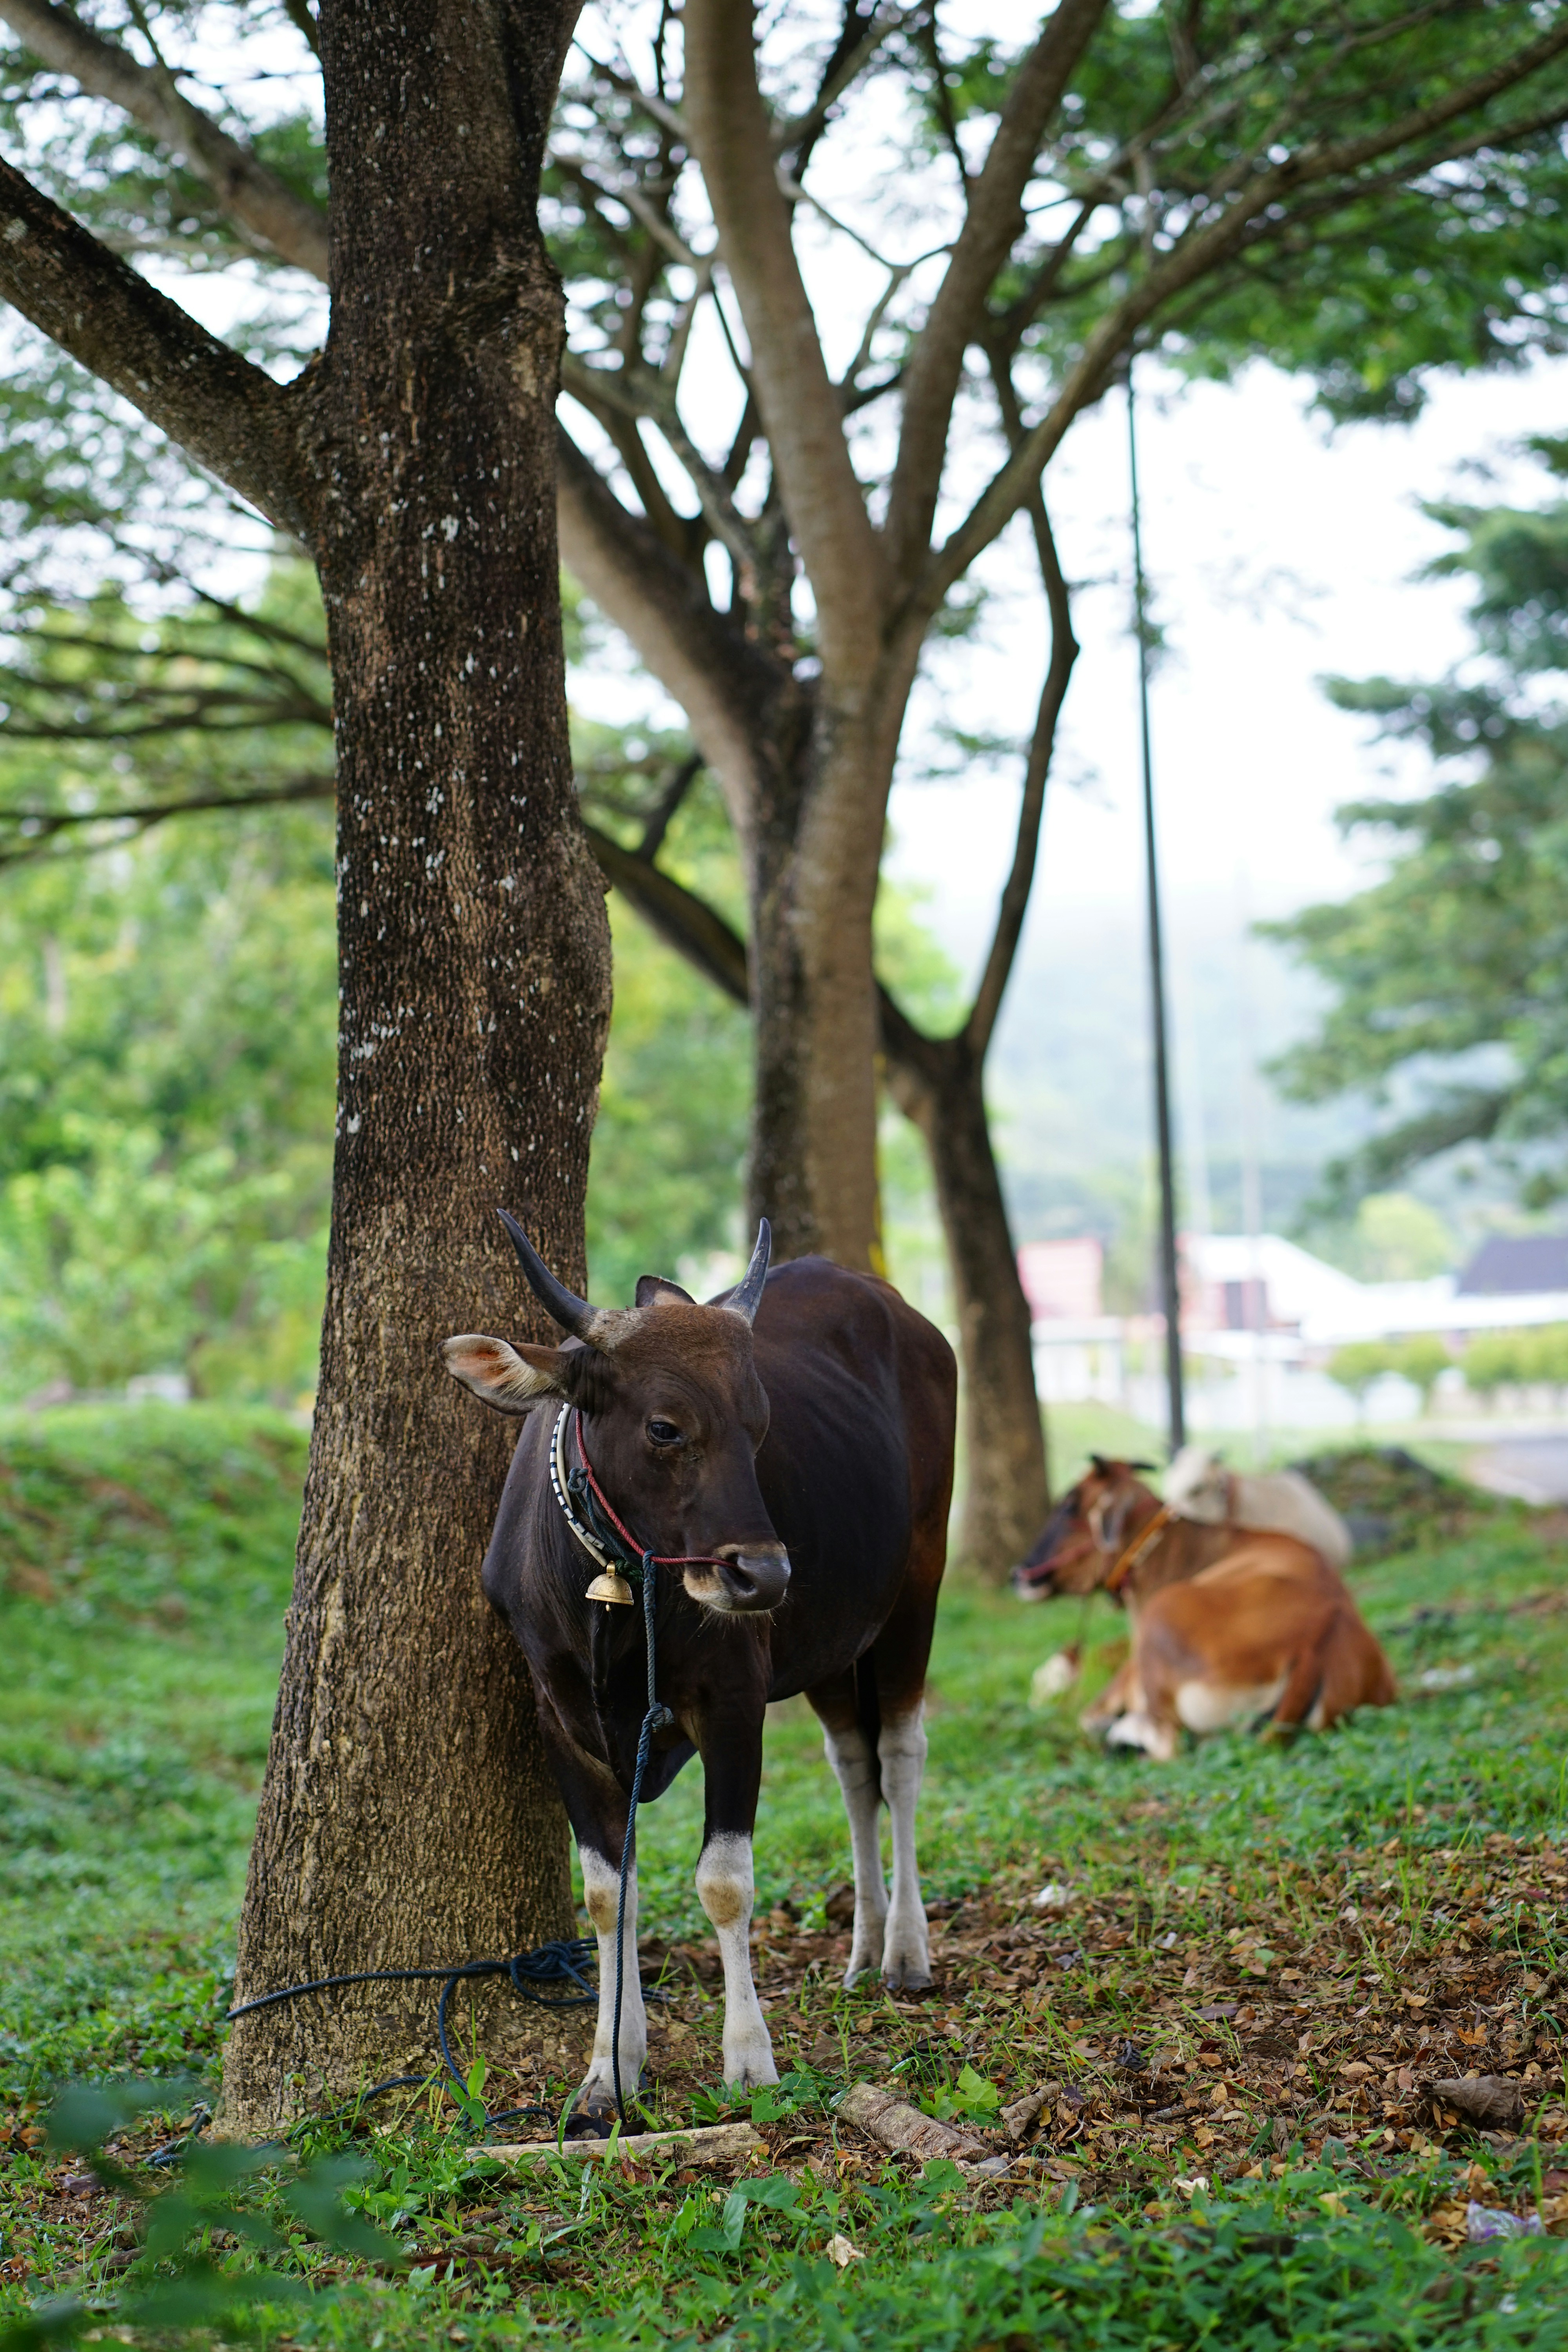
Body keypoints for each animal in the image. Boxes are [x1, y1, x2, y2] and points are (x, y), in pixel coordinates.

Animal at [441, 1214, 956, 2121]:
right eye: (665, 1427)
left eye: (759, 1425)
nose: (765, 1576)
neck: (617, 1601)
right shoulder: (559, 1718)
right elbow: (608, 1893)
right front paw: (610, 2066)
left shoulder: (732, 1702)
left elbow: (723, 1883)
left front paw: (748, 2058)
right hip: (834, 1641)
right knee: (853, 1766)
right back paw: (862, 1949)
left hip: (915, 1591)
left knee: (899, 1757)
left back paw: (903, 1951)